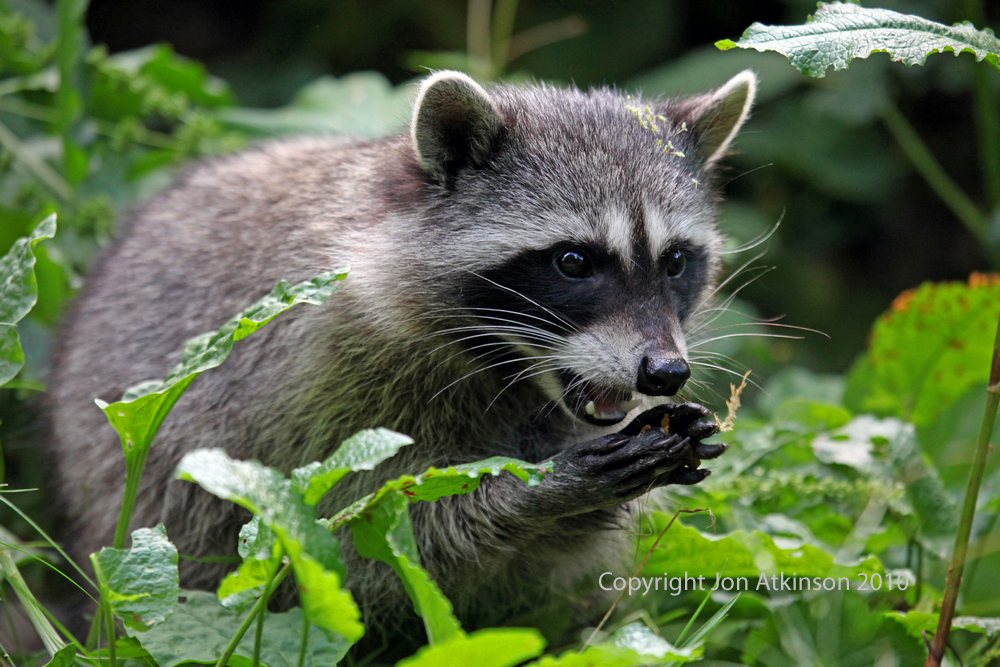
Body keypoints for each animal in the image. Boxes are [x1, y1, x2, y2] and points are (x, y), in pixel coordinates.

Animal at [49, 70, 756, 651]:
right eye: (574, 261)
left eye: (675, 261)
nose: (665, 373)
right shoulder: (317, 378)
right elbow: (365, 536)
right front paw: (542, 490)